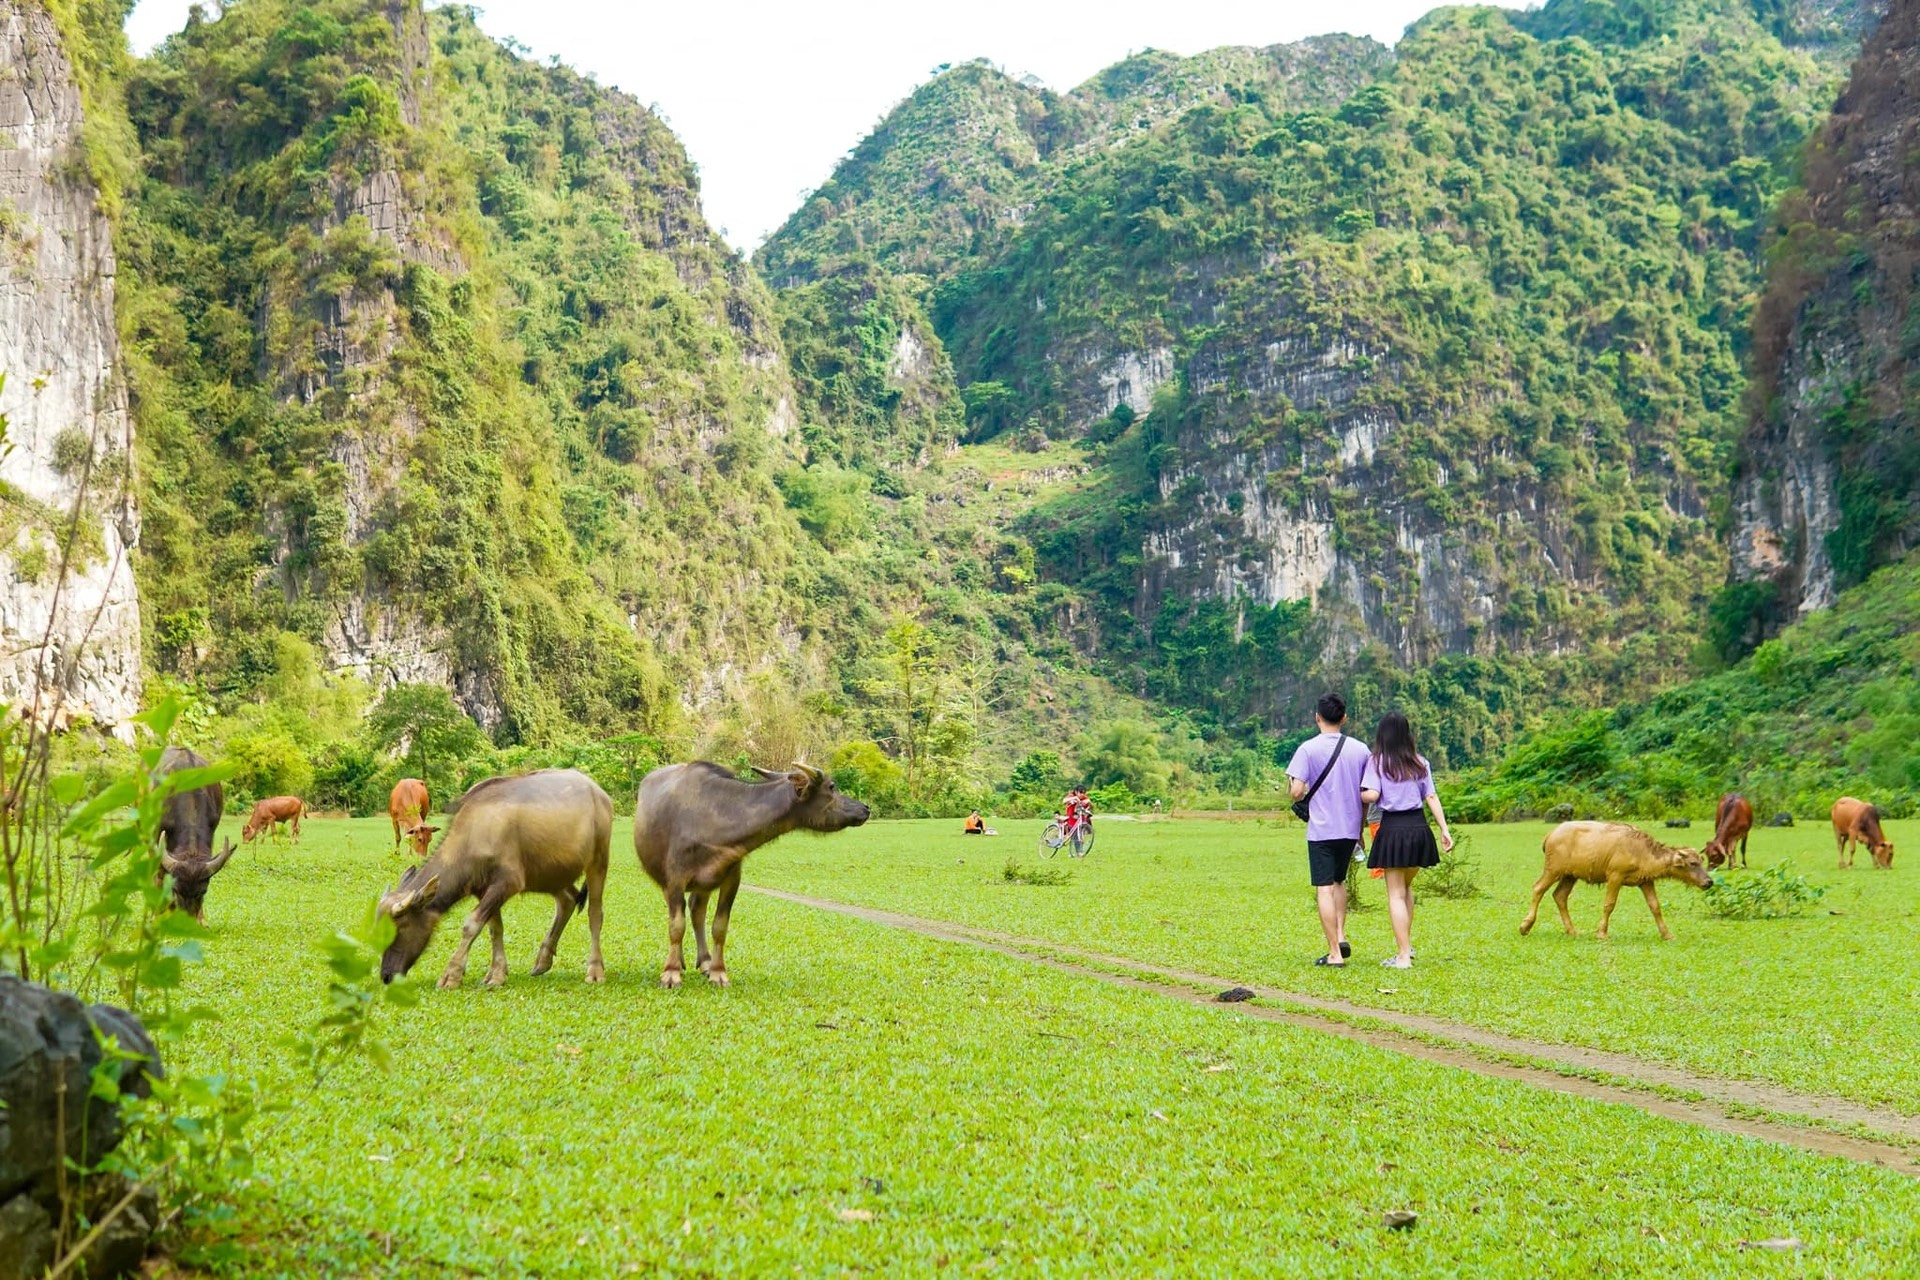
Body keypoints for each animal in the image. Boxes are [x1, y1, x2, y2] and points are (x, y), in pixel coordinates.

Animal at [629, 759, 871, 990]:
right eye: (831, 786)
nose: (866, 808)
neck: (712, 819)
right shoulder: (675, 879)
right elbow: (676, 926)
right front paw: (671, 974)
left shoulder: (732, 878)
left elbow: (720, 926)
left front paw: (718, 973)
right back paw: (680, 961)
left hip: (704, 885)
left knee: (697, 911)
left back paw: (705, 962)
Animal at [1520, 821, 1720, 940]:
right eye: (1693, 863)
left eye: (1701, 861)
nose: (1708, 882)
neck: (1641, 851)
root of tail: (1550, 835)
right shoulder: (1615, 876)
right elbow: (1609, 904)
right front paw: (1602, 933)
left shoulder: (1646, 881)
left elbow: (1655, 906)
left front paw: (1667, 934)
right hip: (1553, 870)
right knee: (1538, 888)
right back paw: (1525, 926)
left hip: (1570, 875)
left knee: (1560, 896)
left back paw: (1572, 931)